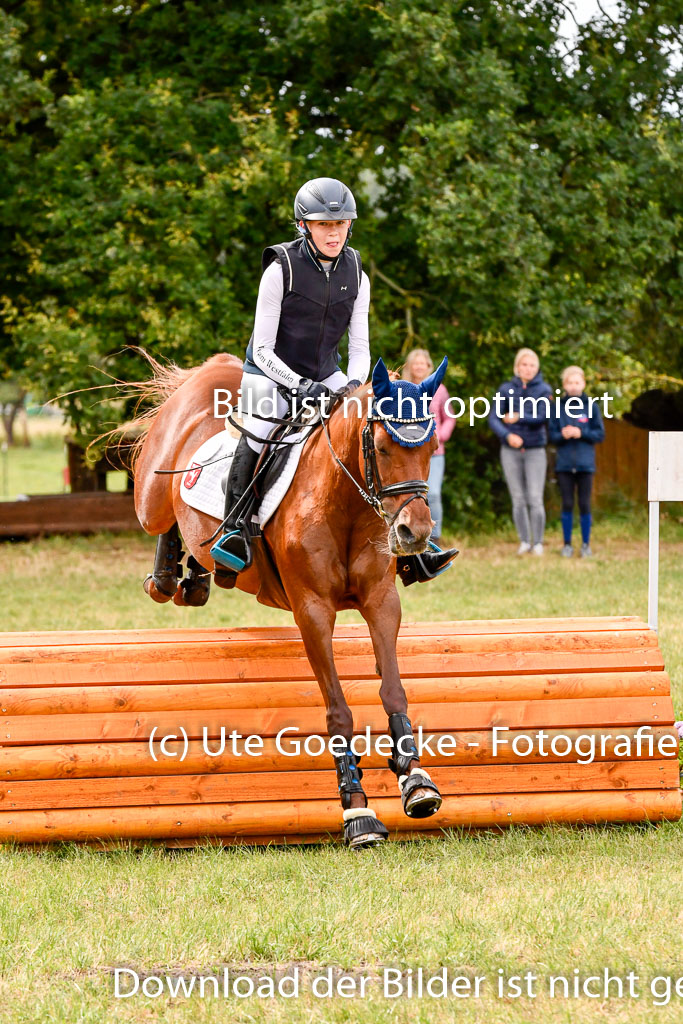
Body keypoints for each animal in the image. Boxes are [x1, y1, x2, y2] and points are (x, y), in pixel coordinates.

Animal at [136, 352, 450, 847]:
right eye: (381, 448)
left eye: (431, 446)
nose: (413, 534)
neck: (345, 504)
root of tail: (213, 369)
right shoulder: (313, 611)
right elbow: (338, 711)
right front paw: (356, 810)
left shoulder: (382, 603)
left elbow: (393, 689)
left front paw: (415, 780)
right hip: (150, 494)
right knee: (162, 519)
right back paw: (168, 577)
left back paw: (199, 577)